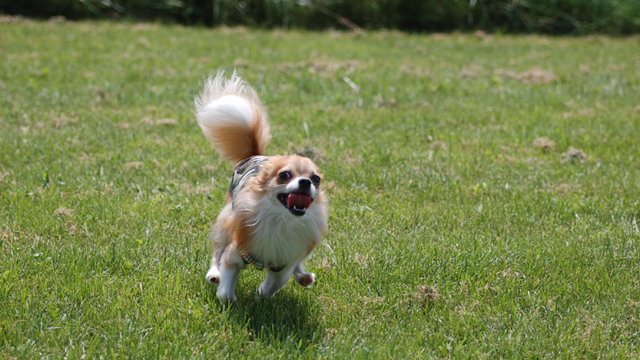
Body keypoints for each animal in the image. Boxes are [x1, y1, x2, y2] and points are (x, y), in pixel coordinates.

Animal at [192, 71, 328, 302]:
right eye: (284, 175)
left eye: (316, 179)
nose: (306, 182)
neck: (281, 220)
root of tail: (255, 155)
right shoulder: (236, 251)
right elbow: (225, 278)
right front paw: (229, 298)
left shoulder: (282, 263)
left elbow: (276, 282)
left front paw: (262, 295)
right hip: (227, 221)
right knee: (217, 251)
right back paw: (213, 274)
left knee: (297, 266)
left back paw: (303, 277)